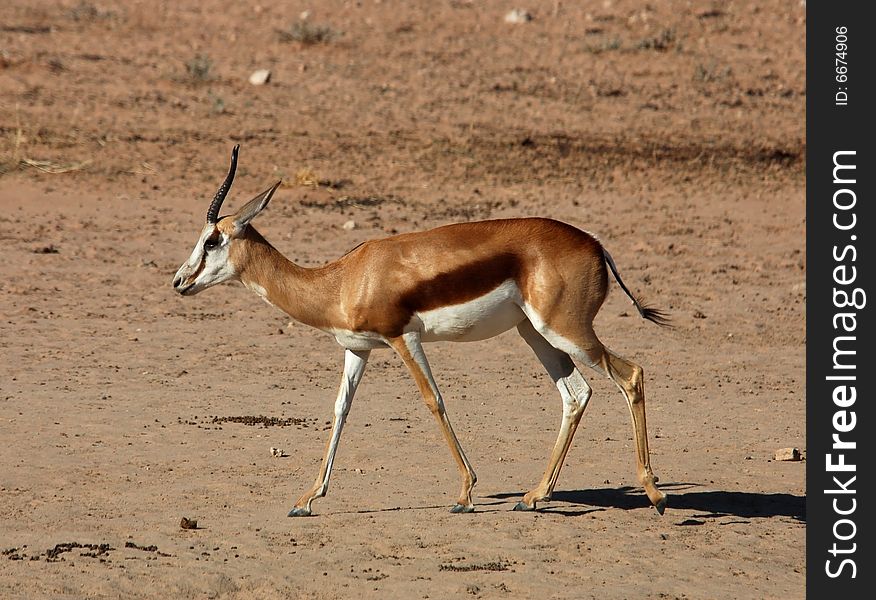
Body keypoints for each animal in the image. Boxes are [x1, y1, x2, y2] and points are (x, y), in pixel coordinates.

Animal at [173, 145, 672, 516]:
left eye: (213, 239)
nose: (179, 281)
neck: (343, 279)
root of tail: (595, 244)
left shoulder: (403, 338)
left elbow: (434, 400)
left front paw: (466, 494)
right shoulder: (358, 349)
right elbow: (340, 410)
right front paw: (307, 500)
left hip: (566, 331)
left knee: (630, 374)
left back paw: (655, 494)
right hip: (535, 335)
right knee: (576, 393)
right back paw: (534, 497)